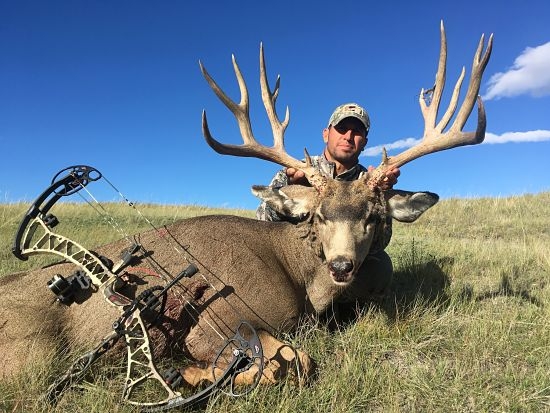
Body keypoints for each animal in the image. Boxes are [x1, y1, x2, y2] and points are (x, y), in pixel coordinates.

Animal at [0, 21, 492, 402]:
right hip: (31, 355)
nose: (341, 265)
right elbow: (296, 362)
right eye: (318, 217)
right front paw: (195, 374)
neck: (299, 277)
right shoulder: (212, 323)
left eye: (374, 216)